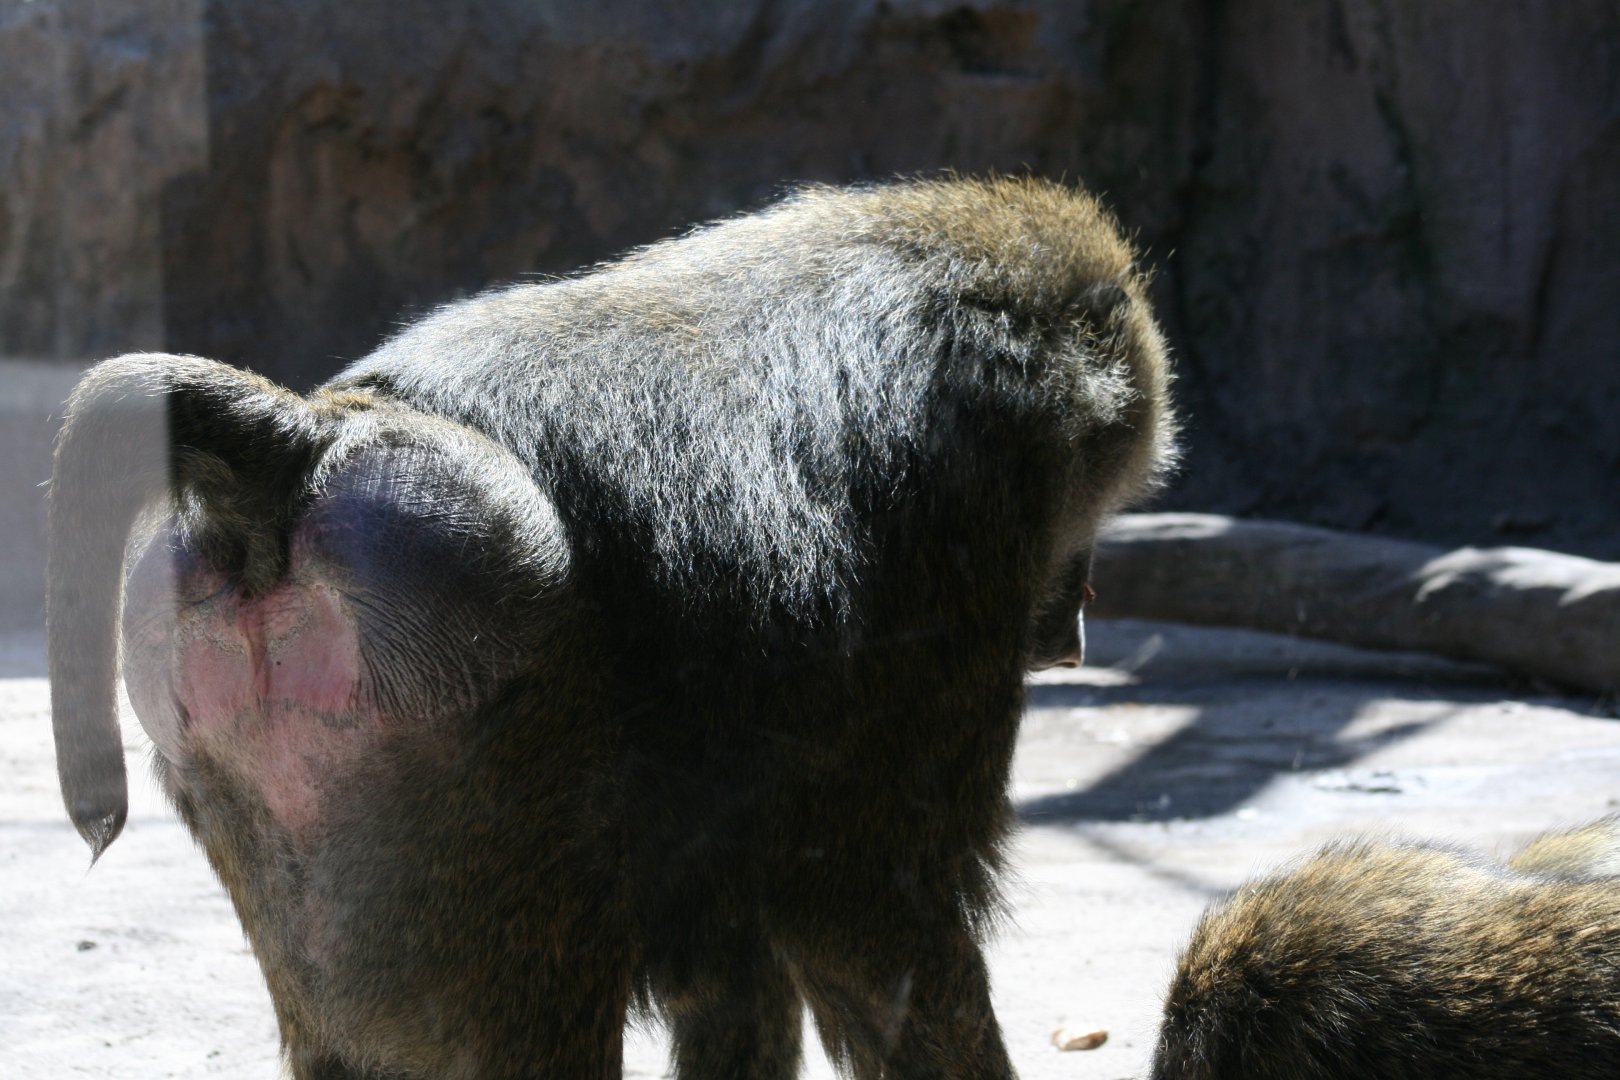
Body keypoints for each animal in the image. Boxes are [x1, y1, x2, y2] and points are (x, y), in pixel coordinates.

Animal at [48, 176, 1177, 1079]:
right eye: (1090, 508)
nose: (1075, 630)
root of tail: (300, 446)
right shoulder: (956, 541)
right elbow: (879, 932)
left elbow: (738, 978)